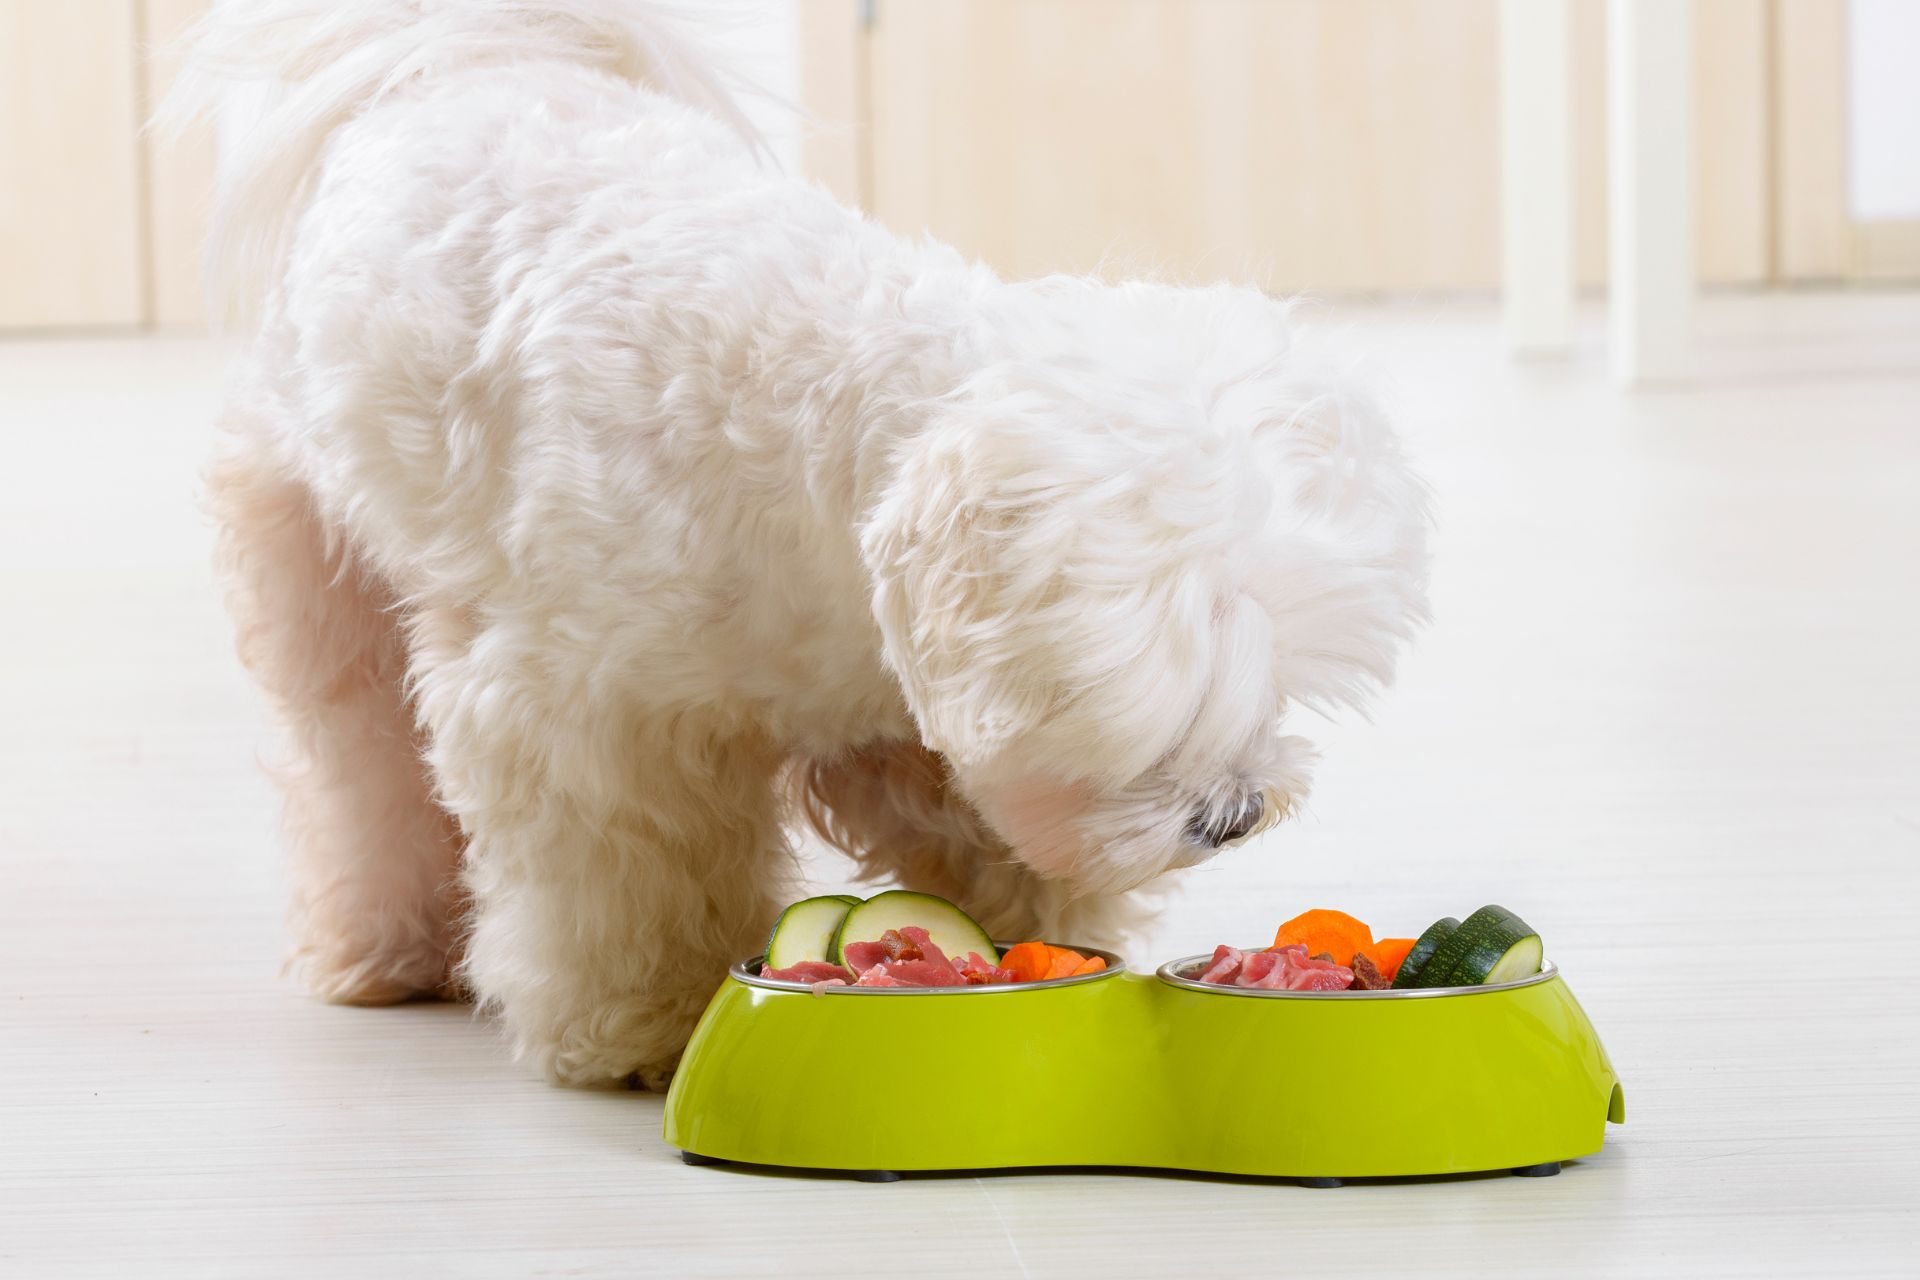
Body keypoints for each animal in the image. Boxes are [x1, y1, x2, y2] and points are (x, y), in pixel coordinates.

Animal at [180, 0, 1436, 1090]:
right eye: (1149, 709)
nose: (1234, 813)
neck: (811, 453)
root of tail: (462, 55)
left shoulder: (893, 721)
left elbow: (981, 842)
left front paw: (1042, 944)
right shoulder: (588, 722)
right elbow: (634, 876)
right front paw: (647, 1021)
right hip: (319, 557)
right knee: (361, 767)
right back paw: (383, 948)